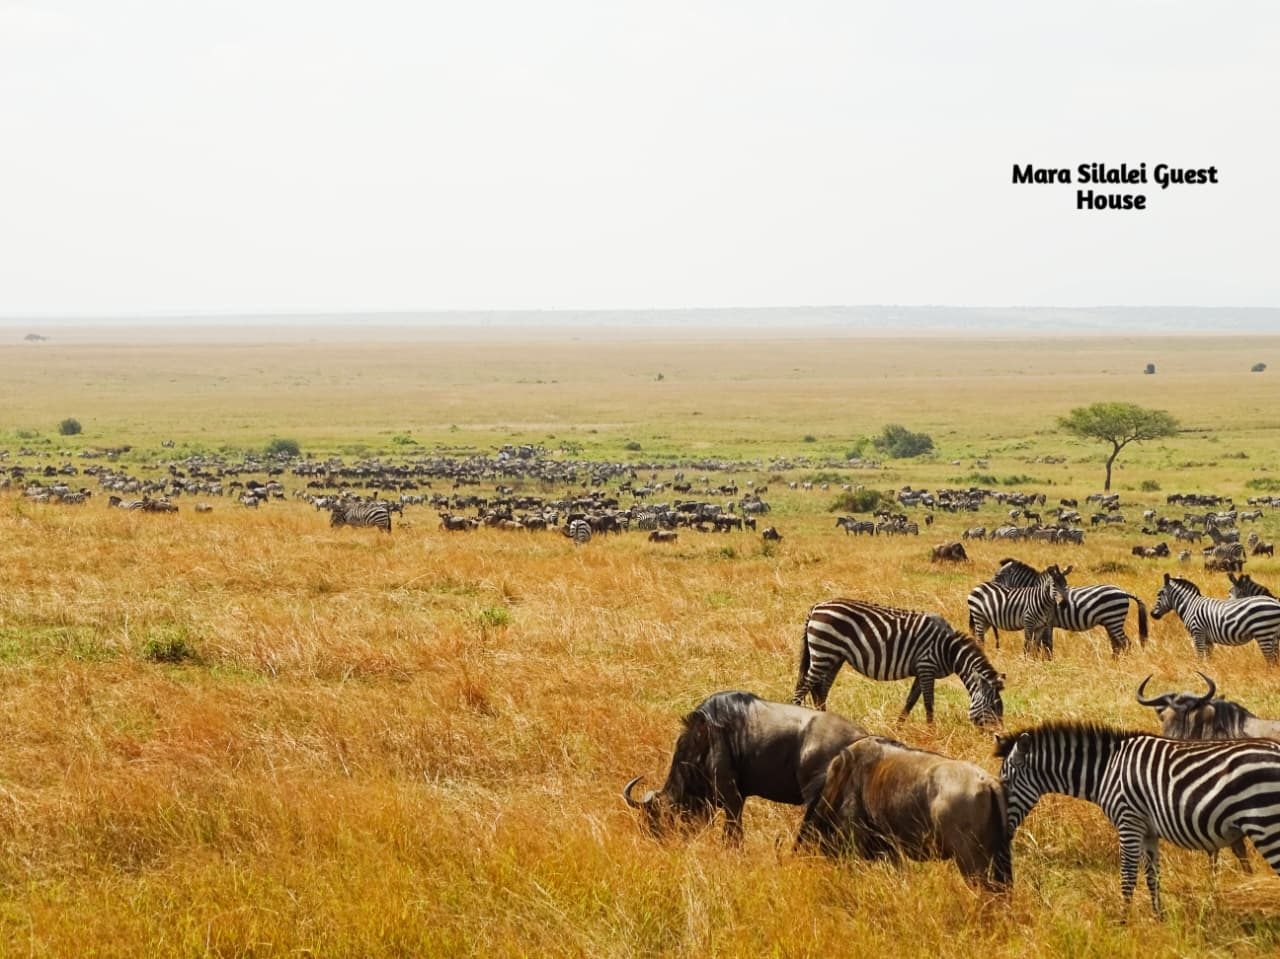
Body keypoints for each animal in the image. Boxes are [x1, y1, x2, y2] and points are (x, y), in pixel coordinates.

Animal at [793, 599, 1005, 729]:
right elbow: (929, 703)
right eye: (994, 708)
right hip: (824, 652)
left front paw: (898, 728)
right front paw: (931, 732)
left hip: (833, 657)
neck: (949, 649)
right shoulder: (926, 666)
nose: (998, 737)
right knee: (803, 687)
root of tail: (816, 606)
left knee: (820, 690)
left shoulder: (922, 671)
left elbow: (910, 701)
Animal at [992, 558, 1147, 656]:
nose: (990, 586)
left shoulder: (1047, 623)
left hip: (1114, 619)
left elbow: (1045, 645)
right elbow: (1044, 644)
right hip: (1110, 622)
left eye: (997, 575)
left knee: (1125, 643)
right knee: (1117, 644)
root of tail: (1123, 592)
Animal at [995, 721, 1280, 914]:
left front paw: (1123, 922)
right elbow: (1152, 877)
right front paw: (1158, 918)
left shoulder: (1128, 821)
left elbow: (1128, 877)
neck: (1106, 770)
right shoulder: (1148, 831)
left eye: (1005, 783)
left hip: (1267, 825)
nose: (1000, 832)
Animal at [1151, 573, 1280, 664]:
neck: (1190, 605)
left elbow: (1199, 657)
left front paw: (1198, 673)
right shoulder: (1208, 639)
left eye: (1159, 594)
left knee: (1271, 661)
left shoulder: (1197, 633)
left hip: (1263, 632)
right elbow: (1209, 659)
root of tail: (1276, 603)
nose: (1152, 614)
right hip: (1274, 636)